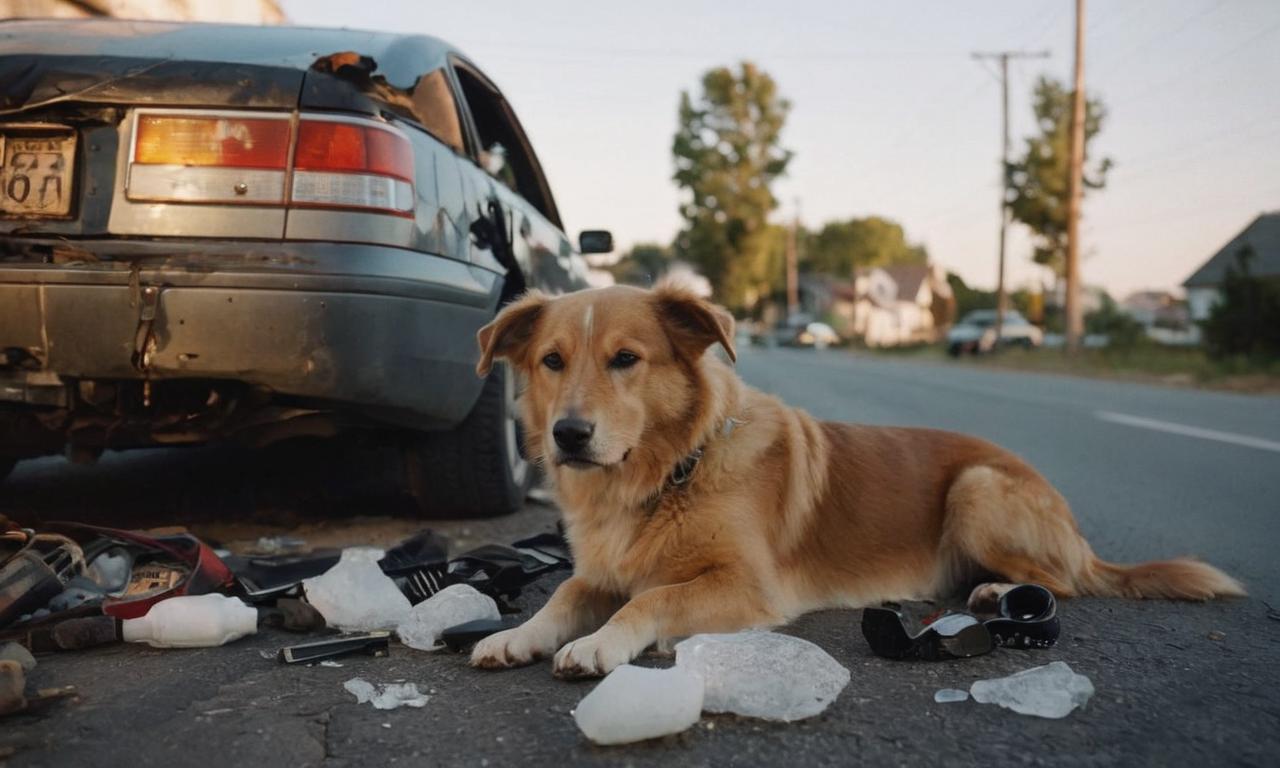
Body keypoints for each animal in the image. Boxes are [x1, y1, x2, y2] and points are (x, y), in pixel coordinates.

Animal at [465, 282, 1244, 675]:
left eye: (626, 359)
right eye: (552, 361)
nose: (568, 436)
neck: (671, 472)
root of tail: (1080, 532)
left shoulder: (748, 588)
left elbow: (649, 601)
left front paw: (600, 644)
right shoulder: (598, 571)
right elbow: (564, 593)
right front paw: (522, 634)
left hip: (977, 489)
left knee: (1065, 582)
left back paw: (996, 592)